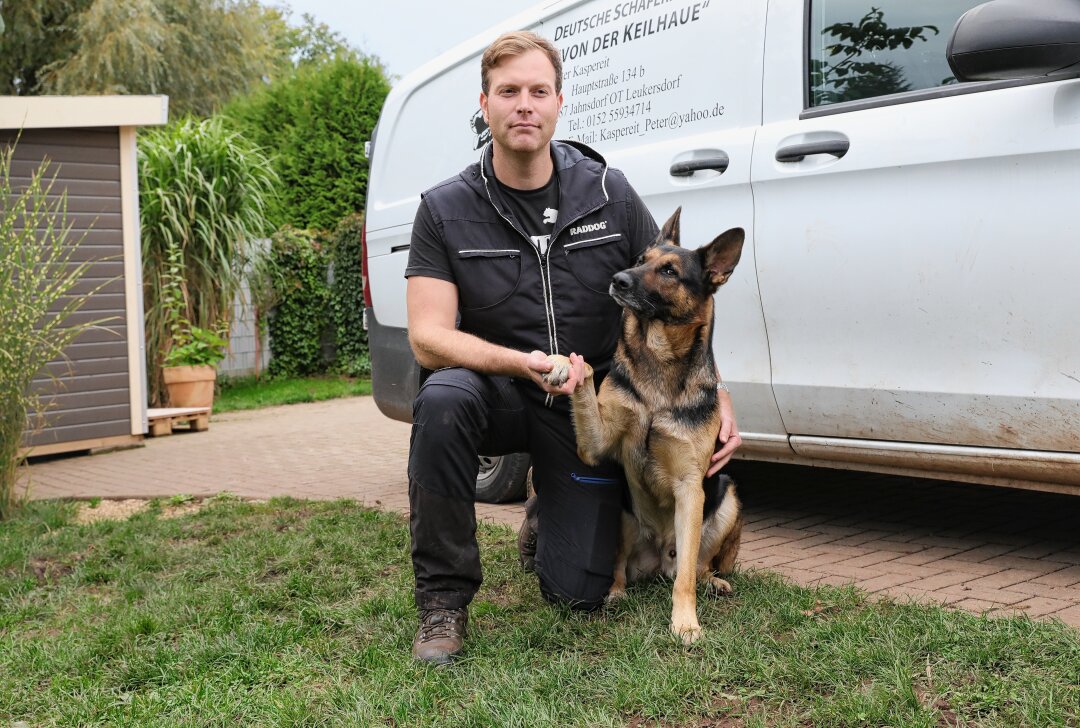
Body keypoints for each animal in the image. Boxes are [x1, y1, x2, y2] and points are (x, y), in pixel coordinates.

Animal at [544, 208, 747, 639]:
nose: (618, 279)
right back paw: (615, 593)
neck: (659, 366)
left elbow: (685, 577)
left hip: (726, 497)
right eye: (640, 259)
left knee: (694, 566)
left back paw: (712, 581)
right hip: (621, 510)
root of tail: (659, 560)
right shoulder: (596, 445)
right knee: (620, 566)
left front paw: (685, 622)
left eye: (669, 271)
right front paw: (561, 364)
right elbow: (586, 370)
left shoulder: (690, 487)